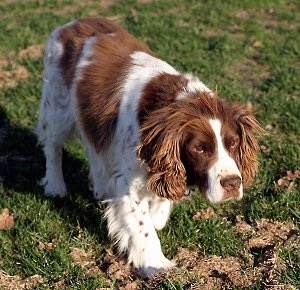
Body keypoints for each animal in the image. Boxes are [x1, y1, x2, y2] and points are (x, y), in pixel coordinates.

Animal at [36, 17, 262, 276]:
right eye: (199, 148)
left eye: (233, 143)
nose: (233, 184)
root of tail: (74, 22)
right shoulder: (128, 182)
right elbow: (143, 228)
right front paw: (155, 265)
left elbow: (160, 205)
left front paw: (157, 214)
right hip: (58, 107)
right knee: (52, 145)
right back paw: (55, 186)